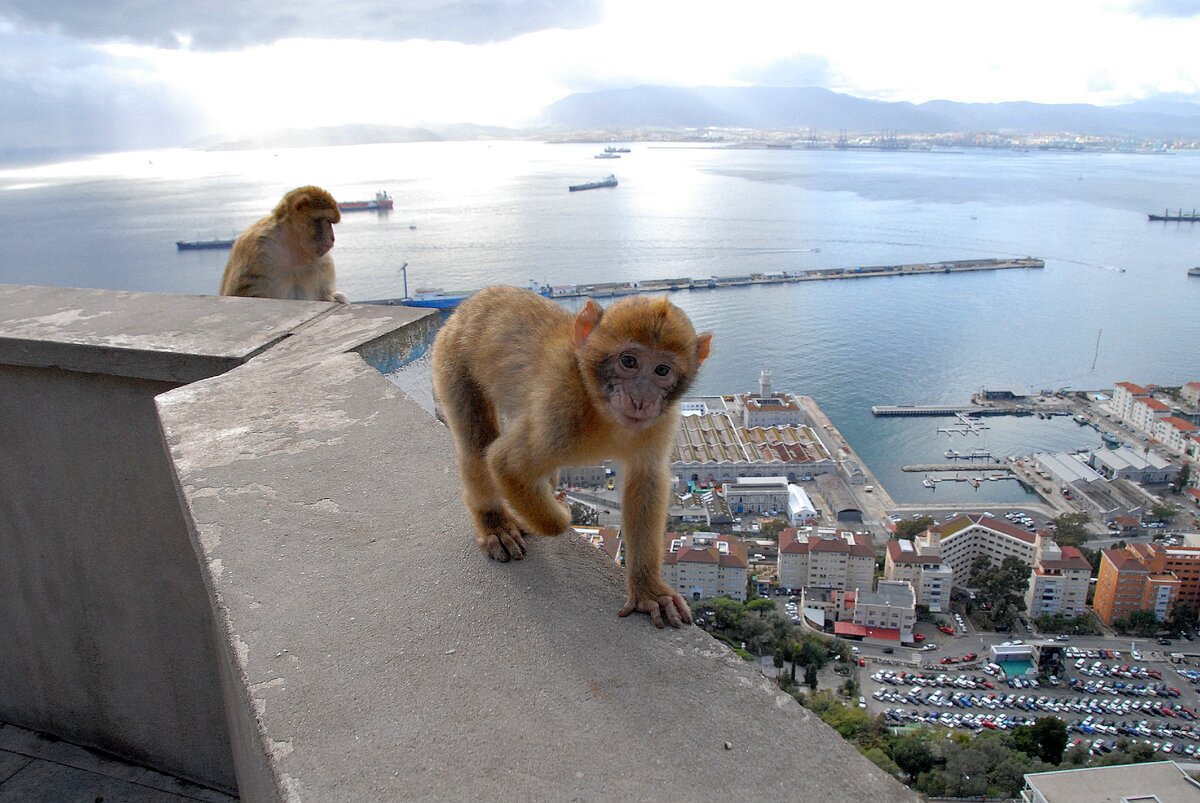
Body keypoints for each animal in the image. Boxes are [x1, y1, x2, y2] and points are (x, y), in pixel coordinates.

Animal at [218, 184, 350, 303]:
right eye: (326, 222)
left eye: (330, 223)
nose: (332, 238)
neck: (295, 249)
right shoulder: (259, 251)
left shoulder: (325, 262)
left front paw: (339, 298)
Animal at [432, 284, 710, 628]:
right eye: (629, 361)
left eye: (662, 370)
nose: (641, 400)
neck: (599, 405)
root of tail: (466, 306)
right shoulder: (560, 409)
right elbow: (505, 463)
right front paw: (561, 516)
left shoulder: (661, 421)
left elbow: (646, 480)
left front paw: (649, 591)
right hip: (452, 359)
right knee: (476, 441)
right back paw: (495, 523)